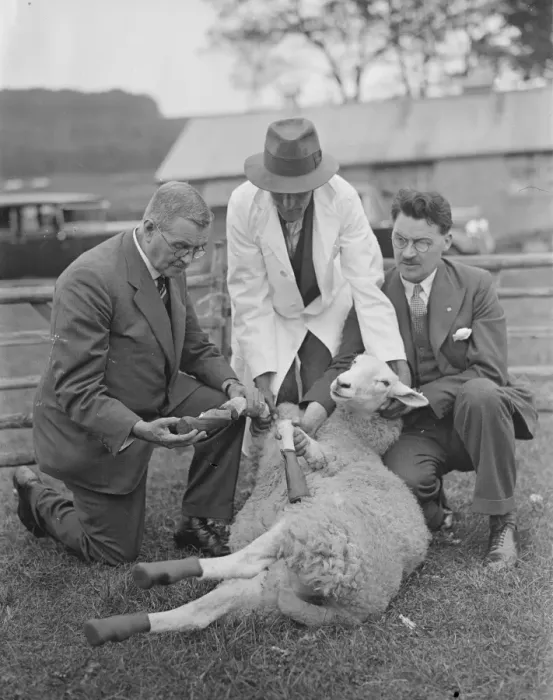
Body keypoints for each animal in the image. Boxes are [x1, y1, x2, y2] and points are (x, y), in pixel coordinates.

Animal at [84, 354, 432, 646]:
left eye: (384, 382)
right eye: (356, 361)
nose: (341, 384)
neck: (354, 441)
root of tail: (353, 605)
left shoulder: (308, 459)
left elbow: (294, 433)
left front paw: (294, 436)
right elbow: (273, 415)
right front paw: (246, 406)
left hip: (312, 531)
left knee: (244, 560)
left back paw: (151, 575)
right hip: (271, 584)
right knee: (200, 612)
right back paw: (113, 627)